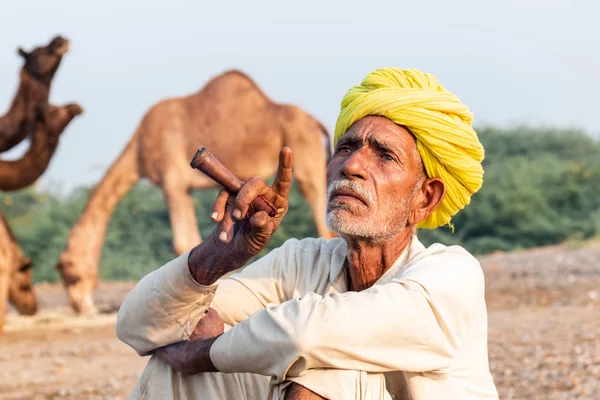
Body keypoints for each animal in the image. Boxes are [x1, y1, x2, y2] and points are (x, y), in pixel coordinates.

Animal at [57, 69, 332, 314]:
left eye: (70, 273)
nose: (81, 307)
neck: (139, 151)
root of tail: (316, 122)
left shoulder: (172, 182)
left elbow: (182, 241)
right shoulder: (183, 187)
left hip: (306, 154)